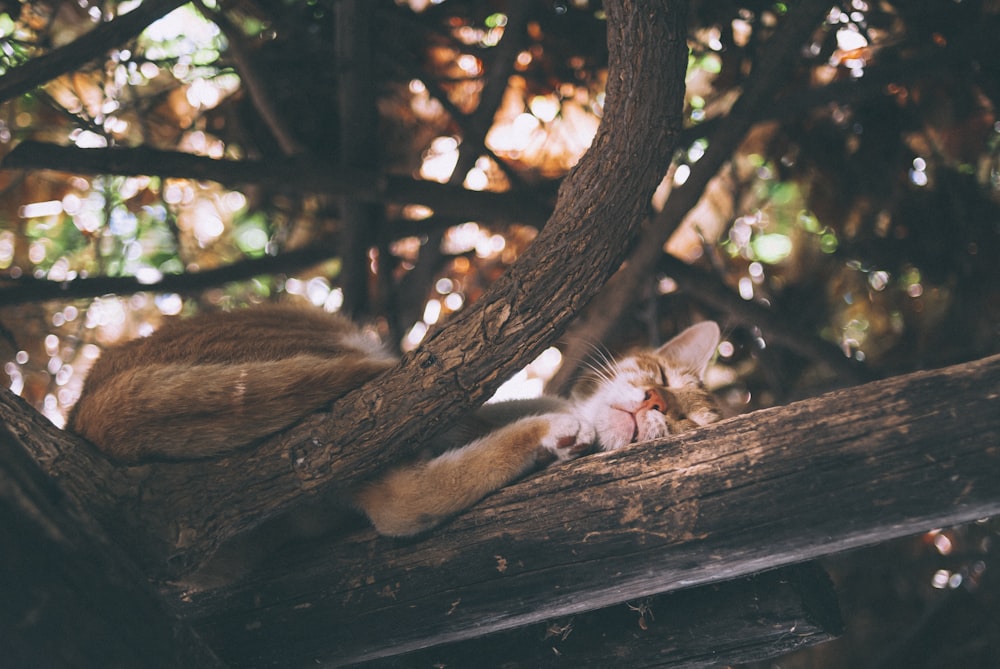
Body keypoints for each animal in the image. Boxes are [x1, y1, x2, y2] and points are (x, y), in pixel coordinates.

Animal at [72, 306, 728, 536]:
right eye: (663, 379)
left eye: (692, 425)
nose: (654, 403)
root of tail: (87, 407)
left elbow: (411, 501)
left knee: (406, 501)